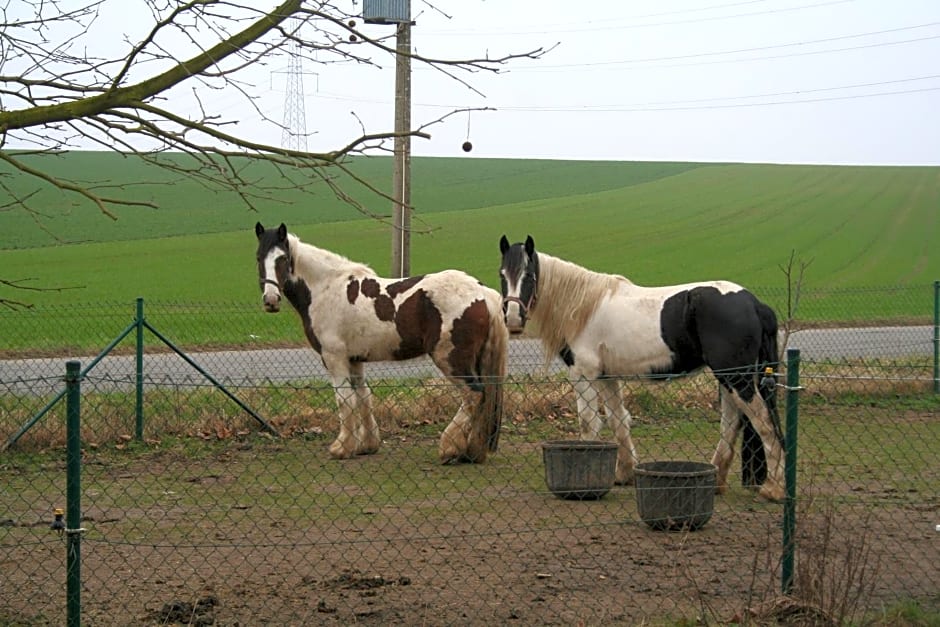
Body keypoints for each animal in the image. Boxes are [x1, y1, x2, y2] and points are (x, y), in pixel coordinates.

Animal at [255, 223, 506, 464]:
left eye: (282, 258)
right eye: (258, 257)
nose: (270, 300)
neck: (326, 288)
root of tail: (482, 292)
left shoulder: (334, 357)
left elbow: (344, 399)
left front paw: (341, 448)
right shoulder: (354, 360)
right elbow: (362, 397)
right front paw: (366, 445)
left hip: (451, 359)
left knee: (473, 395)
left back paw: (449, 448)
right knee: (481, 399)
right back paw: (471, 452)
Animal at [500, 233, 784, 502]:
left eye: (529, 275)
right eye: (502, 274)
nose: (513, 319)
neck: (582, 306)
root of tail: (754, 304)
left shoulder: (584, 375)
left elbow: (588, 423)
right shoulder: (607, 377)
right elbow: (618, 421)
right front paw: (623, 474)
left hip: (737, 378)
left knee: (763, 422)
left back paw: (773, 489)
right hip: (727, 378)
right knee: (731, 424)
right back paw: (717, 483)